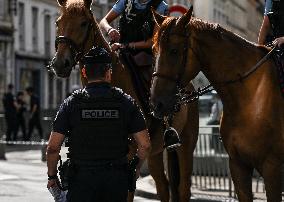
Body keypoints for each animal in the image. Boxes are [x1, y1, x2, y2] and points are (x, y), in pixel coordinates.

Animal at [50, 0, 199, 201]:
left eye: (83, 23)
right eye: (58, 22)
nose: (60, 63)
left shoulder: (130, 159)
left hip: (186, 144)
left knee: (183, 188)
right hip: (155, 152)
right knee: (163, 186)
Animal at [151, 7, 284, 201]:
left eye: (174, 51)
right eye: (154, 50)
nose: (156, 103)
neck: (250, 98)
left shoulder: (272, 168)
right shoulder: (238, 165)